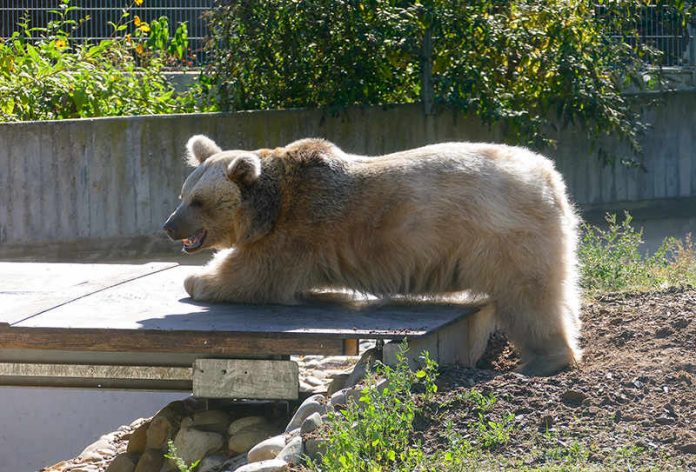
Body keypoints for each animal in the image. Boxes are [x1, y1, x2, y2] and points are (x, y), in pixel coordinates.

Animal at [163, 136, 580, 376]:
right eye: (182, 195)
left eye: (198, 202)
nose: (169, 226)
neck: (274, 200)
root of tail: (548, 176)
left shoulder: (296, 229)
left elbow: (252, 274)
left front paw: (196, 279)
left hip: (504, 233)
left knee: (529, 297)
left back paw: (544, 359)